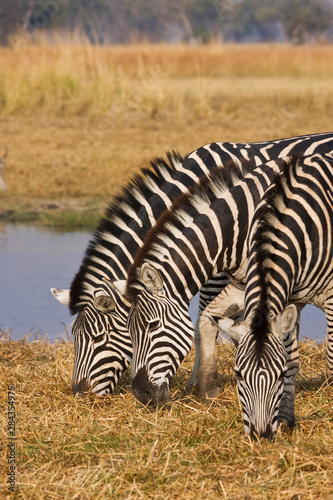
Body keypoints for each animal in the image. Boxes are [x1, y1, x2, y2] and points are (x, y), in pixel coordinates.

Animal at [50, 133, 333, 398]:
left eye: (98, 338)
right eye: (75, 338)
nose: (79, 394)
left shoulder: (220, 271)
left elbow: (202, 326)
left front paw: (197, 382)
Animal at [211, 154, 332, 440]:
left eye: (277, 377)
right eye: (238, 375)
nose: (261, 434)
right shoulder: (291, 298)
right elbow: (292, 358)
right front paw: (287, 419)